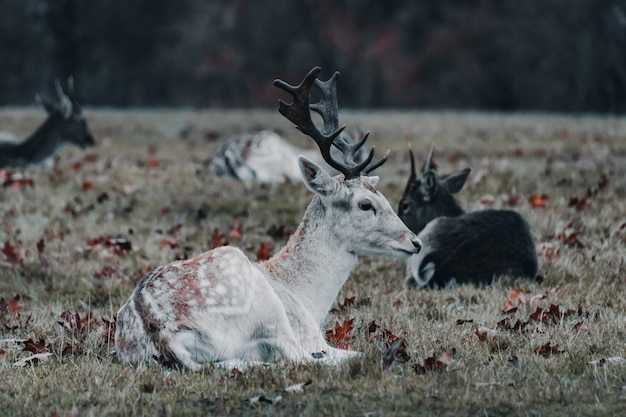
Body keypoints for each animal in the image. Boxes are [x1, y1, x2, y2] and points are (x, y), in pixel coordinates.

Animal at [115, 66, 422, 368]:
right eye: (365, 204)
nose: (415, 242)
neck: (306, 298)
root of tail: (161, 335)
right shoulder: (307, 333)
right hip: (267, 311)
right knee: (301, 359)